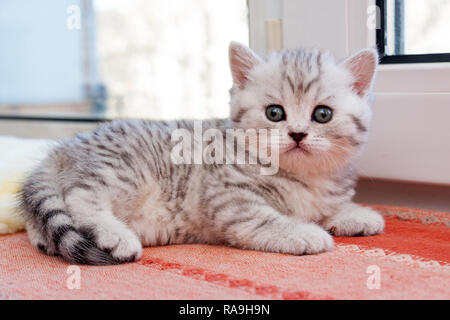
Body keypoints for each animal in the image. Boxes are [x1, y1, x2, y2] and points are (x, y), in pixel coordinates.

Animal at [20, 42, 384, 264]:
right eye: (274, 113)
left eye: (322, 114)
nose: (297, 134)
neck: (304, 177)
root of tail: (61, 150)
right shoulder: (226, 197)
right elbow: (263, 218)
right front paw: (303, 233)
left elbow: (326, 207)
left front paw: (354, 214)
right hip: (122, 170)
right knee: (80, 196)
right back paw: (116, 235)